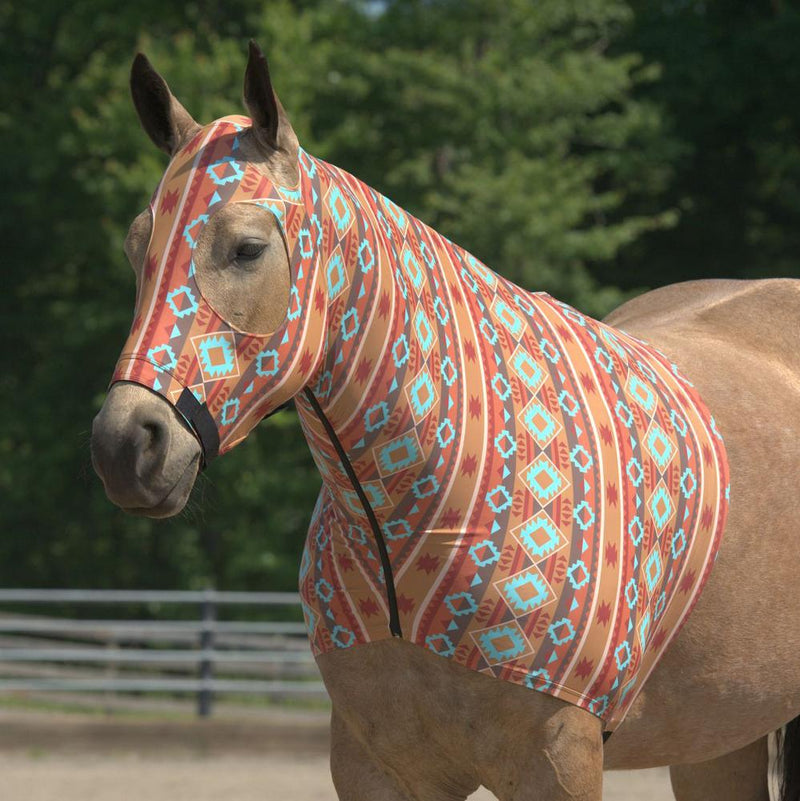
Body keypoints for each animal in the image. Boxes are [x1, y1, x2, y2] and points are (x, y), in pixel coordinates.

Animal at [91, 42, 800, 801]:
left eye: (247, 248)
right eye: (135, 248)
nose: (125, 445)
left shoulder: (557, 764)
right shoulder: (378, 768)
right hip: (717, 735)